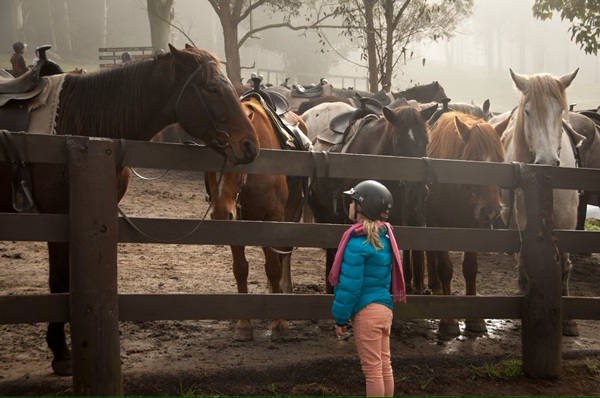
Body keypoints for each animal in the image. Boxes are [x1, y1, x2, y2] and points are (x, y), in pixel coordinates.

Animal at [0, 44, 258, 376]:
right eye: (212, 88)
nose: (250, 145)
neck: (80, 126)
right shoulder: (58, 218)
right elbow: (58, 282)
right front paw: (60, 352)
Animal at [205, 93, 310, 342]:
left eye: (238, 159)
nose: (221, 214)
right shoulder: (237, 223)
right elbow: (240, 269)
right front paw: (244, 324)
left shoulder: (273, 219)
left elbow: (273, 267)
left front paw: (279, 323)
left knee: (284, 256)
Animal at [424, 109, 504, 336]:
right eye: (473, 161)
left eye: (500, 160)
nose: (491, 210)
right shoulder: (437, 225)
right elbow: (445, 268)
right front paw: (449, 320)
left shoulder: (475, 227)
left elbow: (470, 268)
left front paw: (474, 319)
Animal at [500, 68, 584, 336]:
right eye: (528, 112)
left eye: (559, 110)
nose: (547, 160)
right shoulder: (526, 219)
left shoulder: (568, 222)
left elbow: (564, 265)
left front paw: (568, 321)